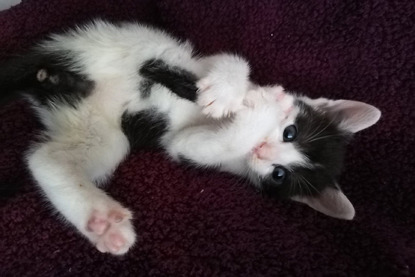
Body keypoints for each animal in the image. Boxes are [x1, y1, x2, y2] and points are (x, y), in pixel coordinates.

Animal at [0, 20, 382, 254]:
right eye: (292, 132)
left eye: (279, 175)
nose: (261, 149)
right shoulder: (209, 65)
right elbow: (232, 63)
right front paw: (242, 97)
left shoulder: (186, 146)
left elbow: (209, 144)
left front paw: (258, 112)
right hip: (125, 43)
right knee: (159, 55)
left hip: (103, 135)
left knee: (44, 160)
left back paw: (102, 222)